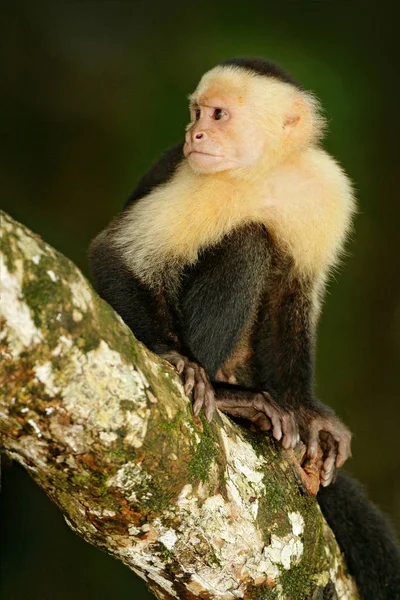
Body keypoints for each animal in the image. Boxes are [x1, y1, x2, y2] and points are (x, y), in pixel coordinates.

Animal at [90, 57, 400, 600]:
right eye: (196, 112)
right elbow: (116, 256)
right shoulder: (198, 179)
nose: (194, 134)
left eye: (217, 115)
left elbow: (294, 298)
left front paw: (309, 413)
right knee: (249, 242)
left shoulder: (327, 189)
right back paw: (229, 398)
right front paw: (175, 357)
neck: (263, 172)